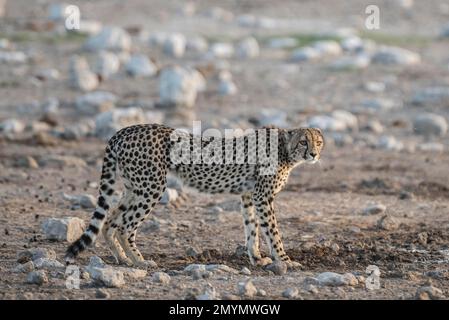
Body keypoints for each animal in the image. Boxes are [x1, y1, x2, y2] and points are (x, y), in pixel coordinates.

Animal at [65, 124, 322, 268]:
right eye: (303, 141)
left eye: (318, 141)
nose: (314, 154)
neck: (285, 150)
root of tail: (125, 130)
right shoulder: (262, 197)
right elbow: (273, 232)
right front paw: (285, 260)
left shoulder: (249, 196)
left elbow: (252, 230)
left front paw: (257, 259)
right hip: (152, 187)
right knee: (125, 226)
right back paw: (139, 261)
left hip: (134, 187)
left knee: (109, 221)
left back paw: (122, 259)